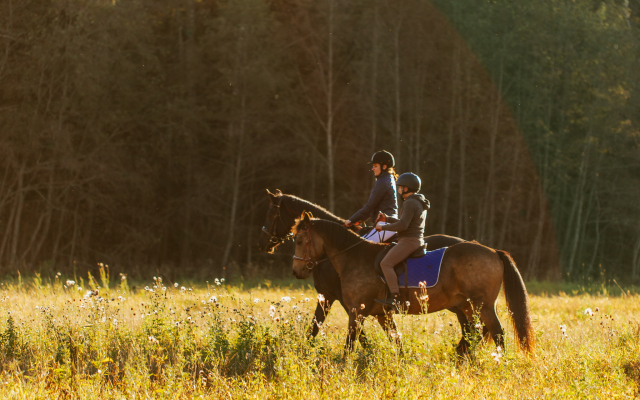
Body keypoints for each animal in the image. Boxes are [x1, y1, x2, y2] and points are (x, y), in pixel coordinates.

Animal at [256, 190, 476, 354]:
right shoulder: (339, 299)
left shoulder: (333, 297)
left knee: (470, 329)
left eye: (271, 214)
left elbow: (323, 329)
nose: (263, 243)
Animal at [294, 214, 536, 354]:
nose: (296, 271)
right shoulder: (382, 315)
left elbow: (349, 344)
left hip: (482, 306)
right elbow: (396, 341)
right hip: (468, 307)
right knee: (476, 333)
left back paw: (498, 362)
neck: (354, 257)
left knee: (497, 333)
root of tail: (494, 251)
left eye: (299, 240)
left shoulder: (355, 311)